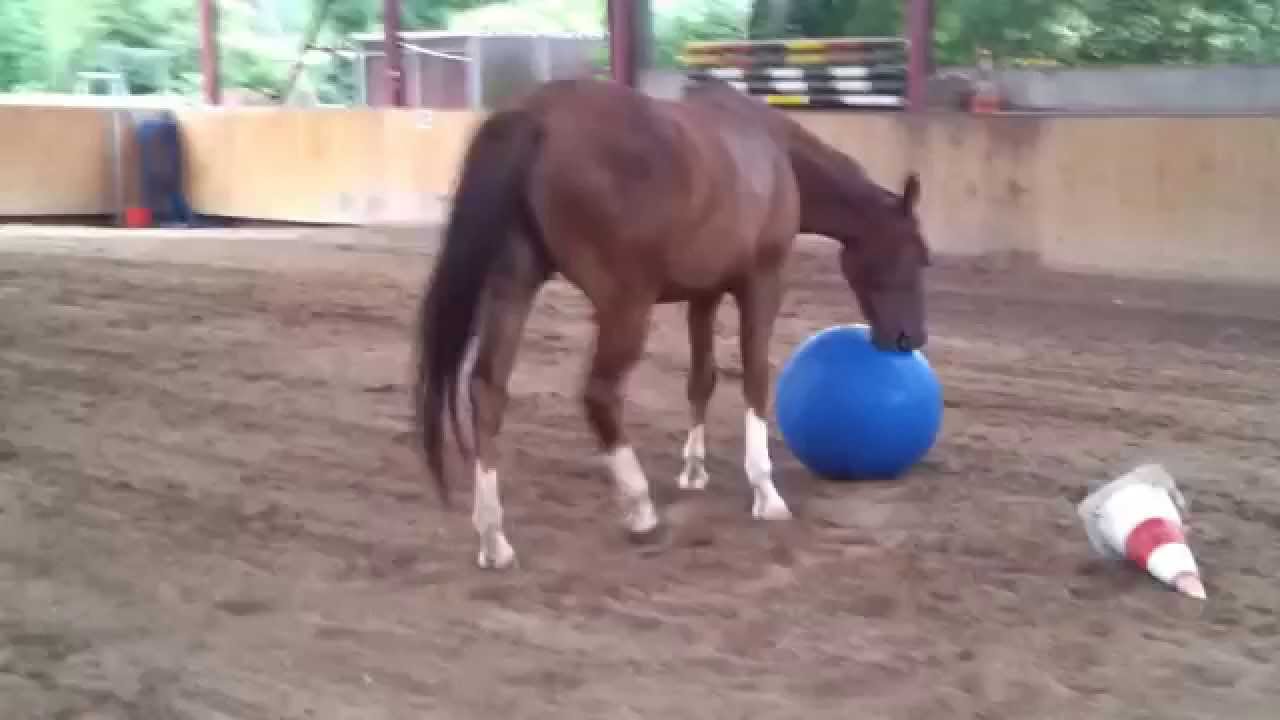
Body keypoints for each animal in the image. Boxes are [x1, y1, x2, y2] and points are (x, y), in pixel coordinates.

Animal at [415, 77, 931, 570]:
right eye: (918, 256)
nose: (910, 339)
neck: (774, 153)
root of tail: (536, 116)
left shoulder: (704, 294)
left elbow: (701, 379)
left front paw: (694, 470)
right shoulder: (761, 284)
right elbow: (756, 379)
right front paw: (765, 491)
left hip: (514, 285)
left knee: (487, 390)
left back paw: (493, 537)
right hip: (625, 305)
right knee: (599, 394)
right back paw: (641, 510)